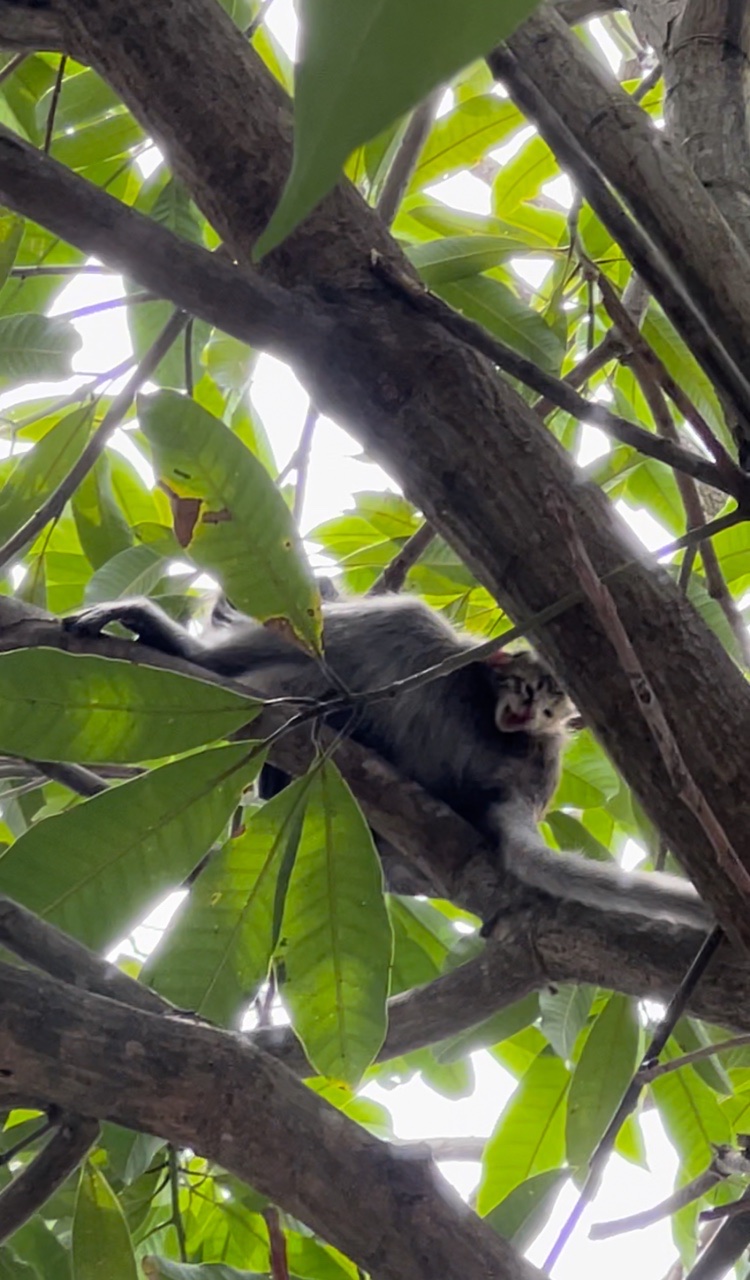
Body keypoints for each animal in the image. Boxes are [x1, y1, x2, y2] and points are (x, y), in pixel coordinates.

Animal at [62, 588, 706, 931]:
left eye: (549, 701)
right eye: (530, 690)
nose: (531, 711)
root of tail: (513, 788)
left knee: (399, 619)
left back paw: (185, 649)